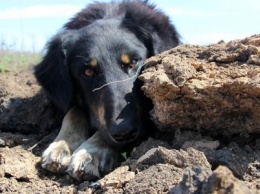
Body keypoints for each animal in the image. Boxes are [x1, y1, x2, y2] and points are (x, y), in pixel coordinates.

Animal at [34, 0, 179, 182]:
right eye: (88, 71)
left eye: (133, 62)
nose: (123, 132)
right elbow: (73, 111)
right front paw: (61, 144)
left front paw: (92, 151)